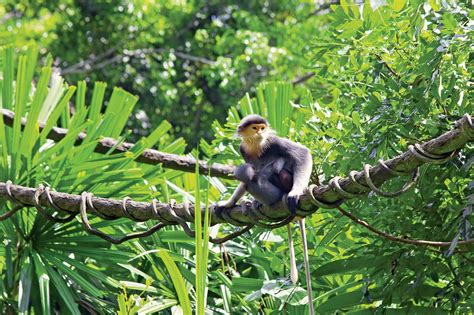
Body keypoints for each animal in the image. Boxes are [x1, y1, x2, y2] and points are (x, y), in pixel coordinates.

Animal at [218, 114, 314, 314]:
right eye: (255, 128)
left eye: (262, 128)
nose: (261, 133)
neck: (256, 146)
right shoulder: (243, 149)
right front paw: (228, 203)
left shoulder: (273, 141)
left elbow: (302, 153)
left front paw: (295, 192)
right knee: (247, 173)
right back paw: (254, 202)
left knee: (254, 172)